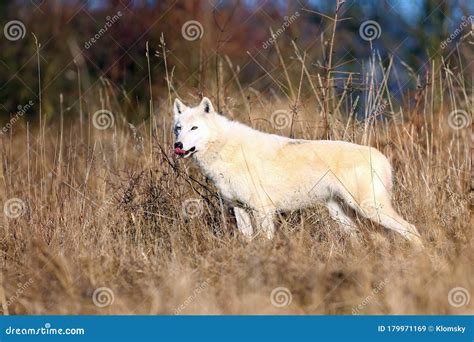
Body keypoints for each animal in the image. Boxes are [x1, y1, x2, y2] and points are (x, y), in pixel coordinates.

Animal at [173, 96, 422, 246]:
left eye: (194, 128)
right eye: (178, 128)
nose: (178, 145)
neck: (224, 149)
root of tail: (382, 157)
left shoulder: (263, 210)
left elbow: (265, 241)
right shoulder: (239, 209)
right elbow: (248, 241)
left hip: (369, 209)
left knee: (411, 229)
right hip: (343, 216)